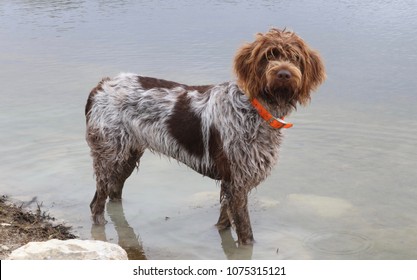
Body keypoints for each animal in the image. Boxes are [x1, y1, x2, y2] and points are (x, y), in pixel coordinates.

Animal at [84, 27, 324, 244]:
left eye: (295, 58)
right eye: (268, 56)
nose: (284, 74)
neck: (255, 108)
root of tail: (101, 85)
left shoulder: (231, 184)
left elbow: (224, 223)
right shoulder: (236, 183)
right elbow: (246, 234)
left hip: (127, 155)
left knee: (114, 195)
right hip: (109, 155)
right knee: (97, 203)